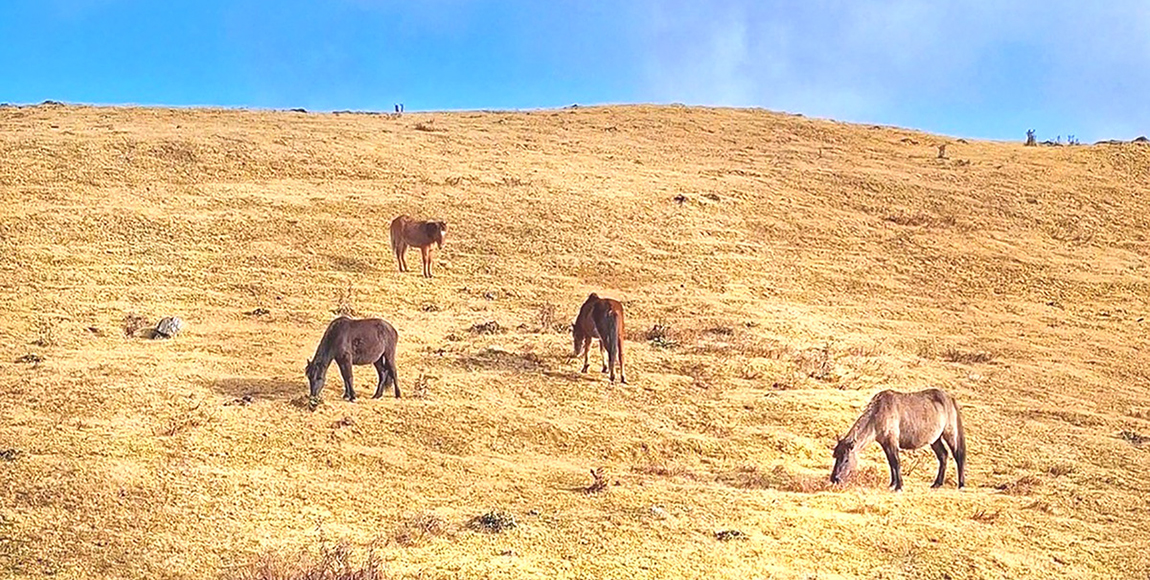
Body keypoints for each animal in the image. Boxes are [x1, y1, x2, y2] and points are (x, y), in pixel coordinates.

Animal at [832, 386, 966, 492]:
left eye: (846, 460)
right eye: (836, 457)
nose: (834, 479)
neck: (878, 412)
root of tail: (950, 398)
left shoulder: (892, 442)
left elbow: (896, 462)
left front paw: (899, 487)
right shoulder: (885, 444)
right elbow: (891, 462)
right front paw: (892, 484)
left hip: (950, 434)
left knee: (958, 456)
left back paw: (961, 485)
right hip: (935, 440)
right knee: (943, 456)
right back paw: (937, 484)